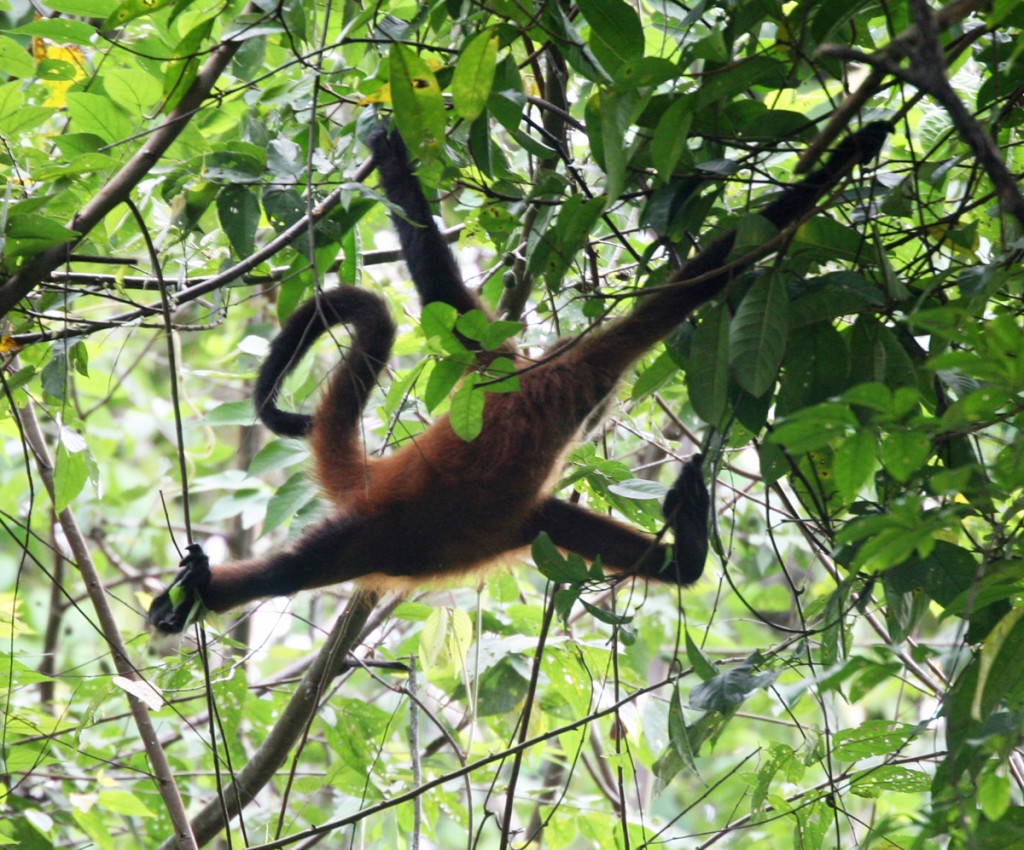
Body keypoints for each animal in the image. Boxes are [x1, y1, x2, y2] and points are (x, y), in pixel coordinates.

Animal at [148, 122, 892, 634]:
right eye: (593, 408)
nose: (595, 419)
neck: (547, 380)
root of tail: (374, 477)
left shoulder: (521, 372)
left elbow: (445, 296)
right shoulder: (565, 369)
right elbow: (698, 280)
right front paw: (852, 150)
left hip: (484, 528)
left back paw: (686, 547)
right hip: (373, 531)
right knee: (292, 569)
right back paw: (193, 595)